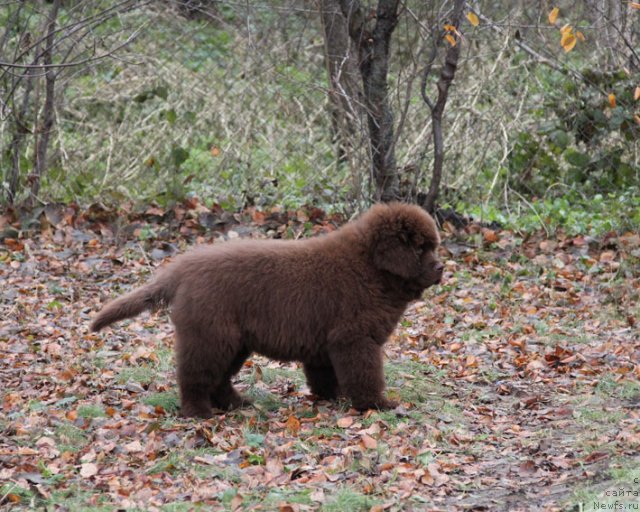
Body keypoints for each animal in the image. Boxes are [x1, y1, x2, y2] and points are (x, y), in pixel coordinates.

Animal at [91, 202, 440, 418]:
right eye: (421, 249)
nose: (441, 268)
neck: (370, 268)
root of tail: (182, 268)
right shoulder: (354, 338)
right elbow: (365, 374)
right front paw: (376, 405)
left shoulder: (326, 341)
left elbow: (324, 374)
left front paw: (332, 397)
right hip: (209, 335)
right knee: (195, 375)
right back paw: (198, 412)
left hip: (233, 341)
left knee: (218, 377)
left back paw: (236, 403)